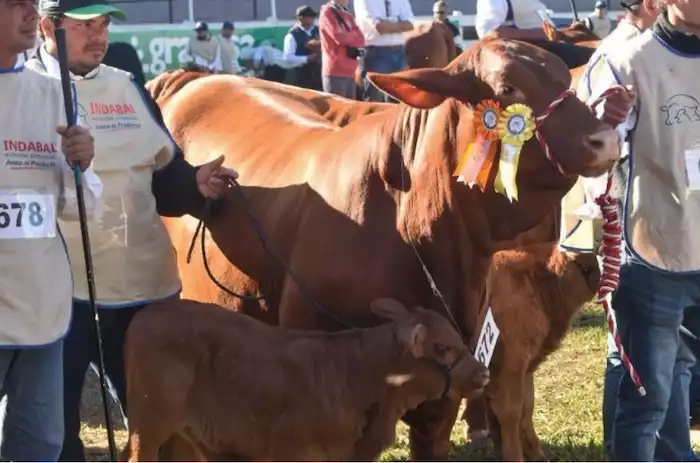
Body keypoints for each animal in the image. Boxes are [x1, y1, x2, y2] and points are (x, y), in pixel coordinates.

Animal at [464, 245, 596, 462]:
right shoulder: (513, 361)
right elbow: (511, 411)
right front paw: (514, 455)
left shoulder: (524, 365)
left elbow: (527, 407)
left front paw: (535, 453)